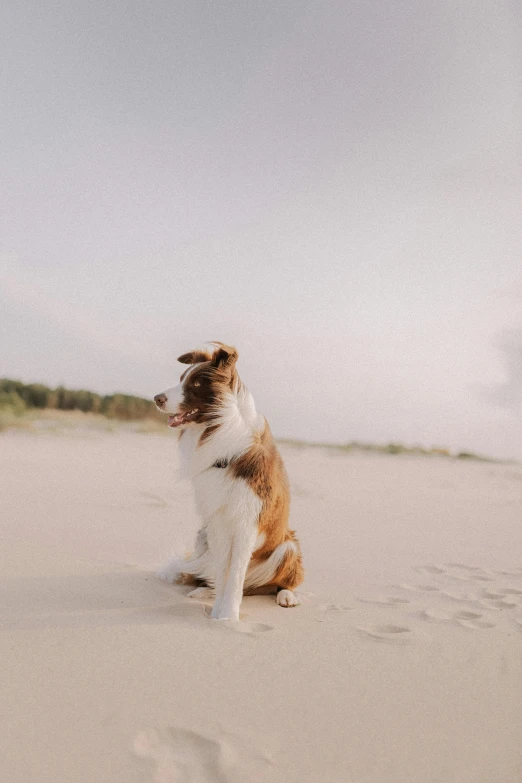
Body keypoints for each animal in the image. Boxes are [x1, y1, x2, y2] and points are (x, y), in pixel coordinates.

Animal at [152, 340, 302, 620]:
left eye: (196, 383)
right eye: (181, 378)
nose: (157, 398)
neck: (220, 431)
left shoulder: (246, 521)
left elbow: (235, 575)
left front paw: (228, 616)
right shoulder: (216, 519)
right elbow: (223, 572)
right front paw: (217, 612)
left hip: (287, 547)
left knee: (280, 582)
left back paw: (286, 596)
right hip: (204, 540)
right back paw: (203, 591)